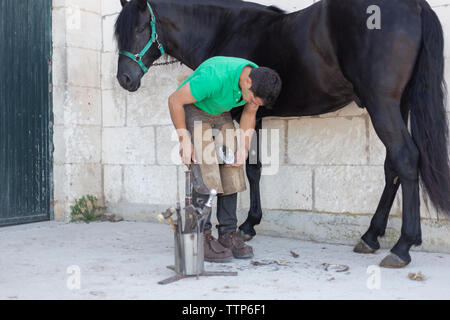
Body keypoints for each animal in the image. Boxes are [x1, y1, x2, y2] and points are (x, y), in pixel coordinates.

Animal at [115, 0, 450, 268]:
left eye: (141, 27)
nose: (125, 79)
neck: (224, 29)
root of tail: (415, 6)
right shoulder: (257, 115)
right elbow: (254, 169)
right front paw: (249, 224)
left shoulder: (244, 113)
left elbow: (249, 168)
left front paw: (247, 225)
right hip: (399, 105)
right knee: (392, 167)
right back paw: (370, 236)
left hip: (383, 104)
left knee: (405, 159)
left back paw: (402, 247)